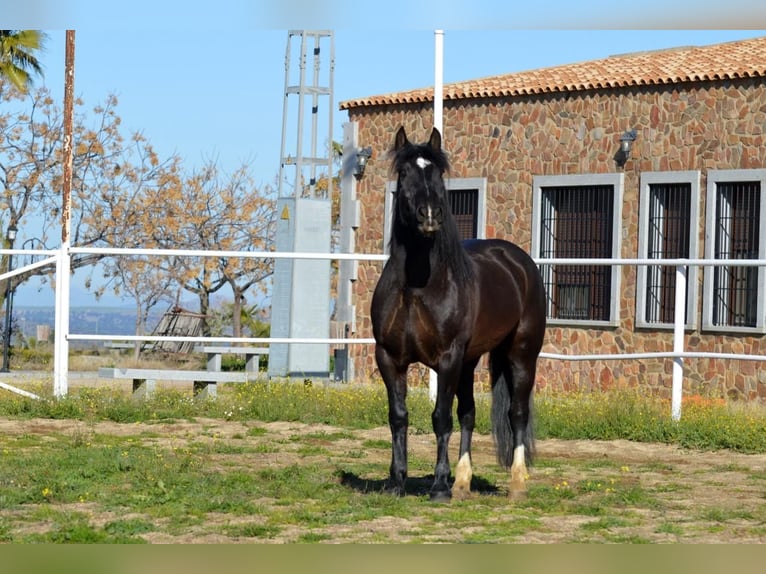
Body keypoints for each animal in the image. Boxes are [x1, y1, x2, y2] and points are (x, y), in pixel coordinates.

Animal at [370, 127, 544, 504]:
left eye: (437, 172)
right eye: (404, 172)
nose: (429, 215)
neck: (417, 286)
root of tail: (517, 261)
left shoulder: (447, 359)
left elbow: (440, 418)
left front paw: (438, 486)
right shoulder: (389, 357)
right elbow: (399, 416)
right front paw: (397, 481)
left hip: (521, 354)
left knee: (517, 413)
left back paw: (517, 481)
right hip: (470, 360)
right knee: (469, 413)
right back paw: (463, 482)